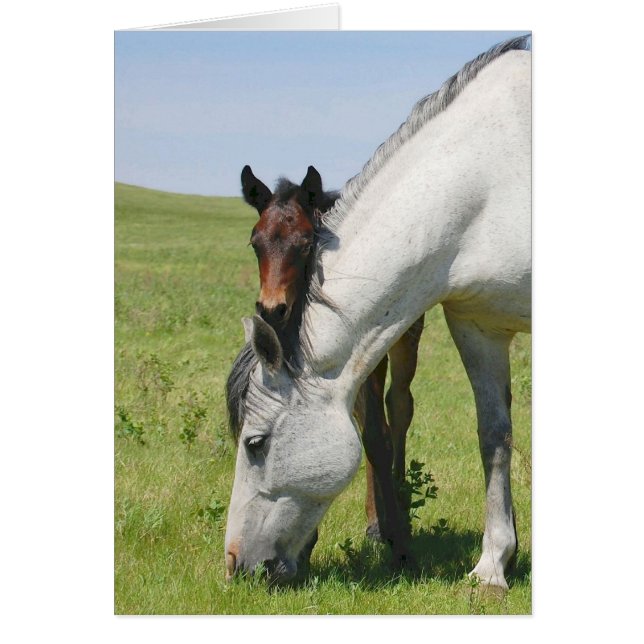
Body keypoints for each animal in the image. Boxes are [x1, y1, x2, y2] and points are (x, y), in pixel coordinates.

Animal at [237, 166, 424, 562]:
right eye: (255, 243)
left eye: (306, 244)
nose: (272, 309)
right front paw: (306, 543)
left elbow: (377, 437)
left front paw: (398, 538)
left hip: (405, 341)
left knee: (399, 409)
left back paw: (398, 506)